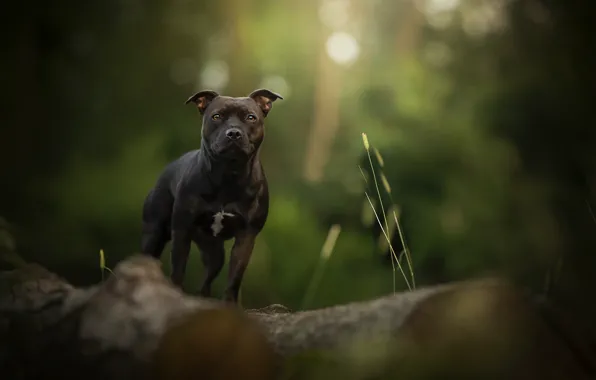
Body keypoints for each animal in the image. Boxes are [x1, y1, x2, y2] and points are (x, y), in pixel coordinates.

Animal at [141, 88, 282, 302]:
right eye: (216, 116)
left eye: (251, 117)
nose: (234, 132)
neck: (228, 175)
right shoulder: (181, 230)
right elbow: (178, 269)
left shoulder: (246, 237)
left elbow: (234, 278)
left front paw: (230, 304)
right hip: (154, 233)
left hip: (214, 252)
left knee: (207, 281)